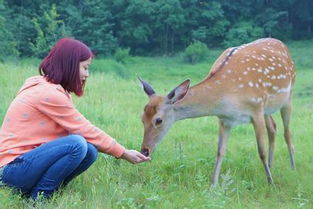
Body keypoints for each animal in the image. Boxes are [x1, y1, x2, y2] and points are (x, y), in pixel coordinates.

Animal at [138, 38, 294, 185]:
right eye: (142, 118)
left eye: (159, 120)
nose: (144, 150)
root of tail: (283, 45)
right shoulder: (225, 119)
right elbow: (220, 151)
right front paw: (213, 184)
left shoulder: (256, 109)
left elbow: (261, 151)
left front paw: (271, 183)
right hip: (267, 109)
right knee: (273, 127)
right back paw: (271, 165)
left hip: (287, 97)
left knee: (287, 133)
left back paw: (292, 168)